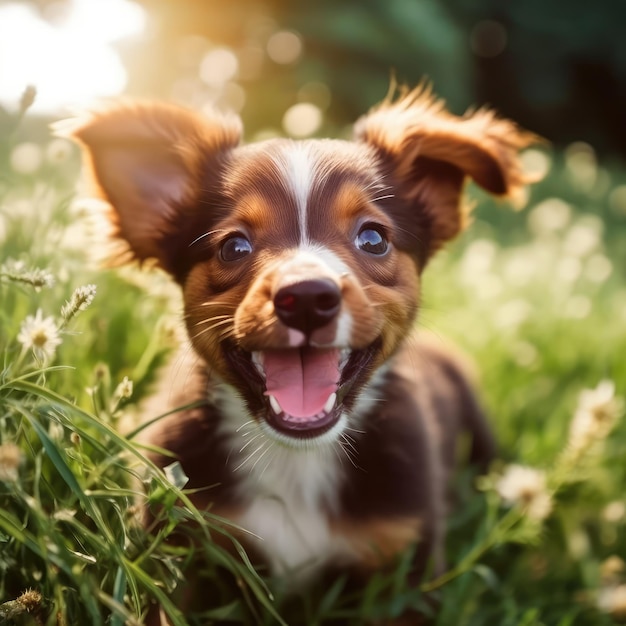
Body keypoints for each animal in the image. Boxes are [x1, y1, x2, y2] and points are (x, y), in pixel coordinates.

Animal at [67, 86, 532, 620]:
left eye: (373, 238)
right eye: (233, 247)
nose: (307, 297)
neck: (296, 460)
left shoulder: (404, 571)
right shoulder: (182, 549)